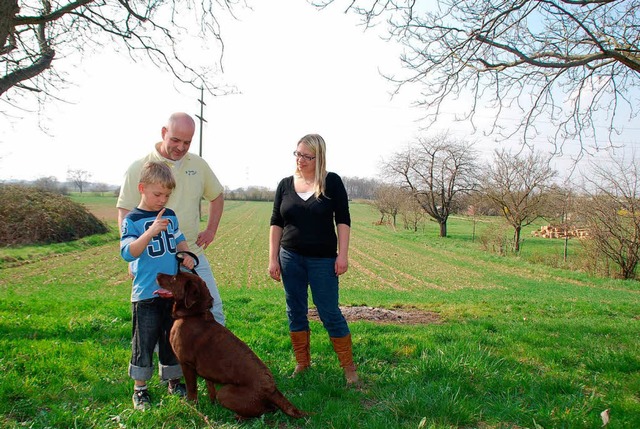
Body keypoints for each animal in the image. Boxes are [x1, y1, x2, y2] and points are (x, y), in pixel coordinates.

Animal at [157, 270, 308, 418]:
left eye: (174, 278)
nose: (158, 275)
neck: (193, 314)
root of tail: (272, 389)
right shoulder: (205, 372)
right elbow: (210, 388)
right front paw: (212, 406)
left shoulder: (186, 364)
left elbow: (192, 390)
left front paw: (192, 409)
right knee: (271, 408)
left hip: (225, 391)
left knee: (265, 410)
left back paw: (239, 416)